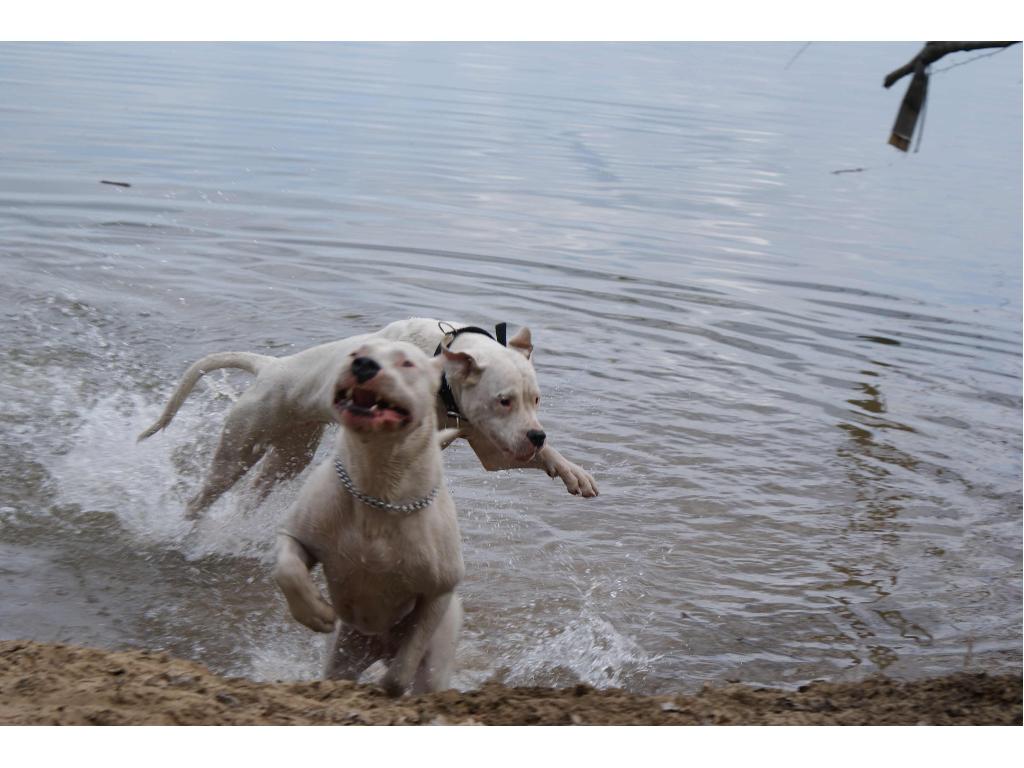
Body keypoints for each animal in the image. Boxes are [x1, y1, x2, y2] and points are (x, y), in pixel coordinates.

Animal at [140, 315, 598, 520]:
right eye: (504, 400)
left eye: (535, 399)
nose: (536, 435)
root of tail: (270, 366)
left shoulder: (492, 446)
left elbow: (539, 457)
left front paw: (573, 472)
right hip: (240, 447)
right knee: (206, 493)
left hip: (290, 457)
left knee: (256, 490)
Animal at [272, 339, 464, 696]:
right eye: (355, 352)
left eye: (407, 363)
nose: (364, 365)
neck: (378, 487)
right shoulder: (299, 535)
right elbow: (288, 569)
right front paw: (315, 612)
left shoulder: (439, 591)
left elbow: (404, 666)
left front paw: (387, 687)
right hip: (347, 650)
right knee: (339, 669)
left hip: (438, 653)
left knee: (423, 673)